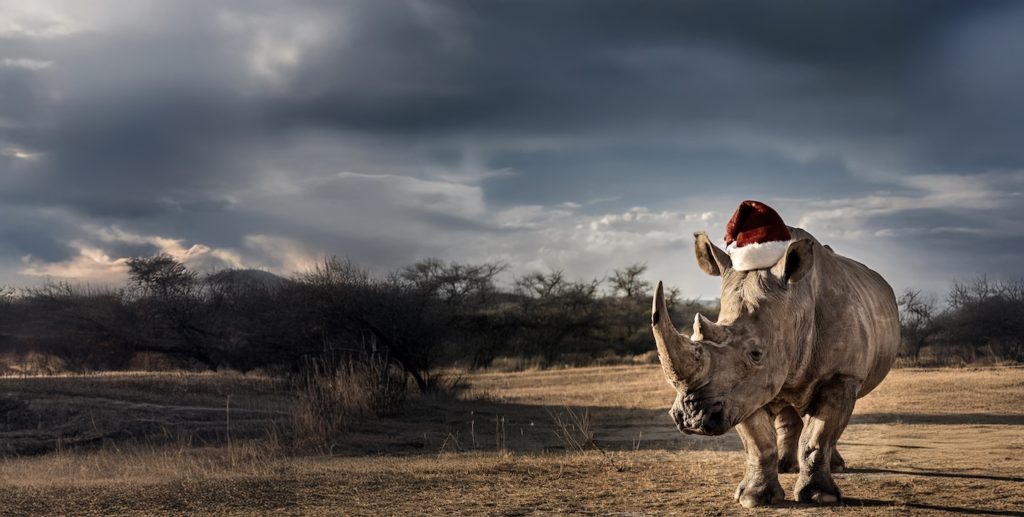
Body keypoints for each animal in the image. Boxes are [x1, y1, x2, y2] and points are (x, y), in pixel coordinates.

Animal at [651, 226, 899, 507]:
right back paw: (784, 466)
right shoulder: (742, 391)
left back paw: (835, 468)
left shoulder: (842, 375)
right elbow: (758, 442)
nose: (691, 419)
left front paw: (820, 497)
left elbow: (819, 437)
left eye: (756, 353)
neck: (796, 306)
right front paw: (754, 498)